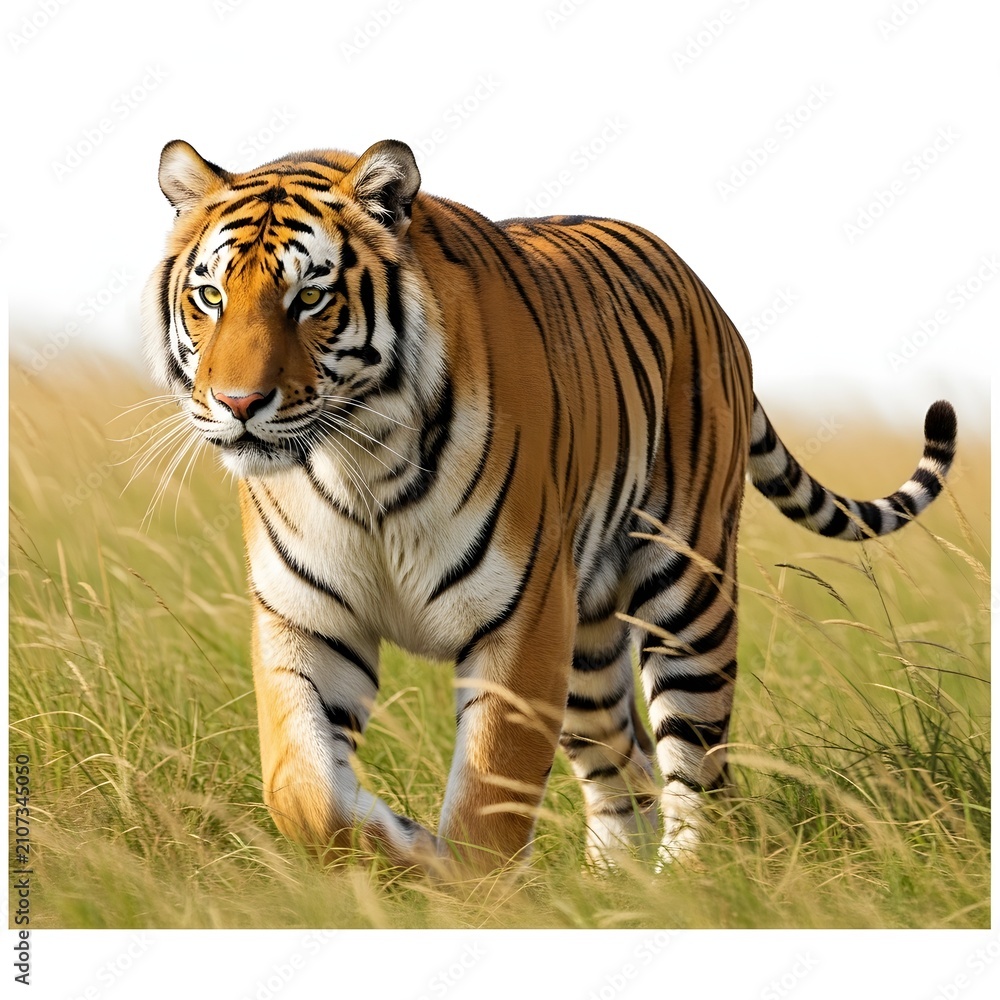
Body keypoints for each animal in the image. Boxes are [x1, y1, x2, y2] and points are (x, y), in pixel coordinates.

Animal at [142, 138, 957, 875]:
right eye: (211, 296)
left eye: (309, 297)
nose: (237, 404)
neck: (360, 464)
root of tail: (711, 302)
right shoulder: (307, 620)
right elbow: (302, 789)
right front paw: (408, 847)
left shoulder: (521, 618)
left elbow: (488, 799)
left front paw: (469, 891)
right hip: (587, 641)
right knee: (626, 768)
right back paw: (617, 891)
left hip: (686, 594)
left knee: (698, 770)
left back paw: (691, 883)